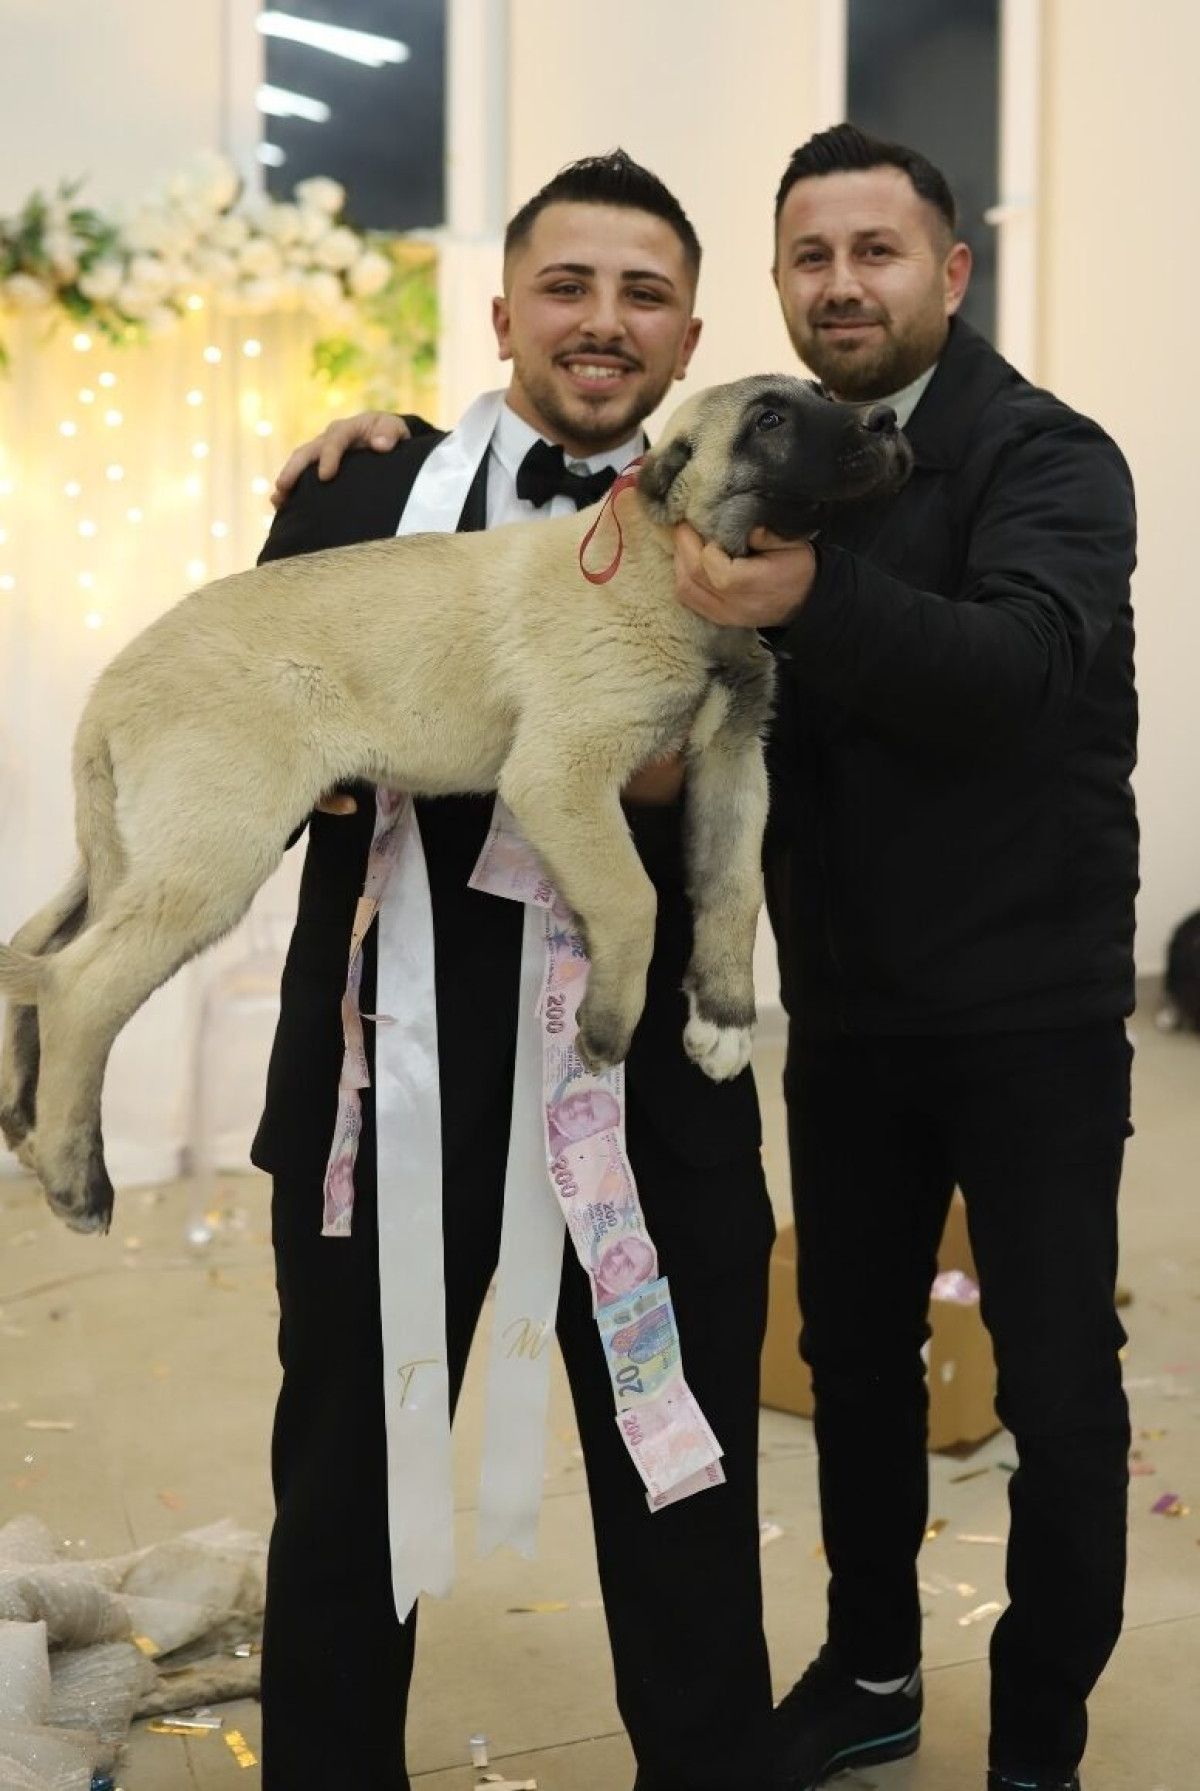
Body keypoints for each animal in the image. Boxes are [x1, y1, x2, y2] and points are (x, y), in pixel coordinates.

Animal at [0, 374, 909, 1232]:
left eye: (822, 395)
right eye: (769, 420)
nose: (887, 422)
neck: (665, 564)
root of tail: (109, 688)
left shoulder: (732, 760)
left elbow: (732, 886)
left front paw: (722, 1019)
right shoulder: (562, 769)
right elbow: (634, 895)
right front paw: (607, 1022)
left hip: (134, 851)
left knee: (39, 948)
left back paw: (24, 1116)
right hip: (210, 850)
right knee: (78, 985)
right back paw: (76, 1180)